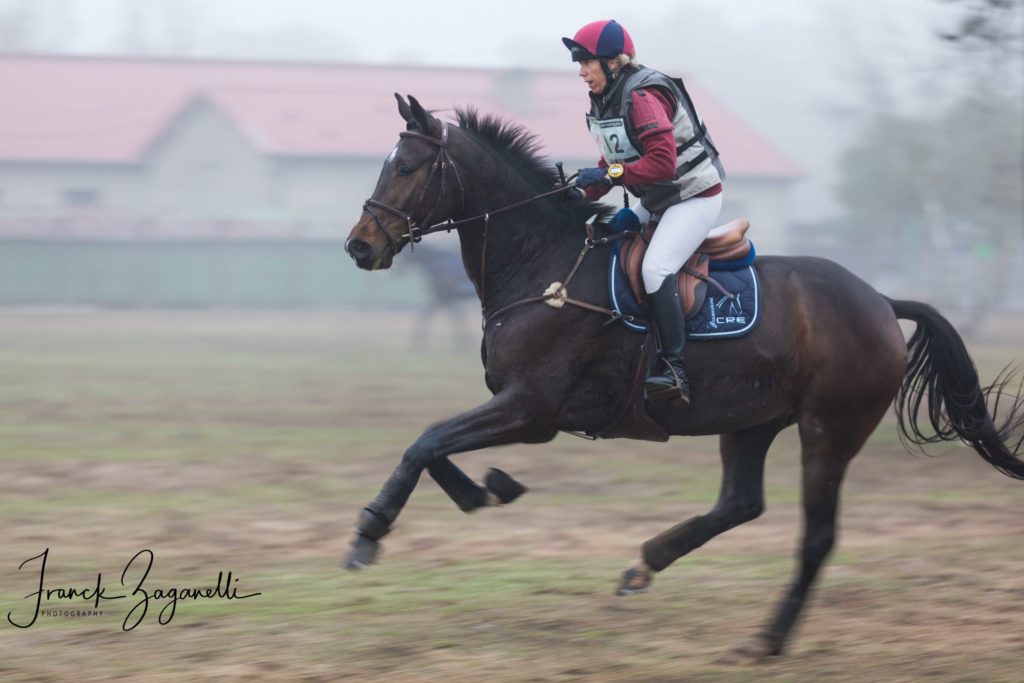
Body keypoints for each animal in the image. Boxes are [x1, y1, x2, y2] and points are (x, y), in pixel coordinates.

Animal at [339, 96, 1019, 663]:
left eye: (406, 167)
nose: (358, 247)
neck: (545, 263)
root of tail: (880, 301)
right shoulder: (522, 410)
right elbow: (434, 447)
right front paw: (487, 490)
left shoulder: (531, 410)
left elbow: (425, 442)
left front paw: (370, 532)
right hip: (751, 420)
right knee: (740, 503)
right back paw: (646, 564)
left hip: (829, 431)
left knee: (816, 537)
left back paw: (767, 641)